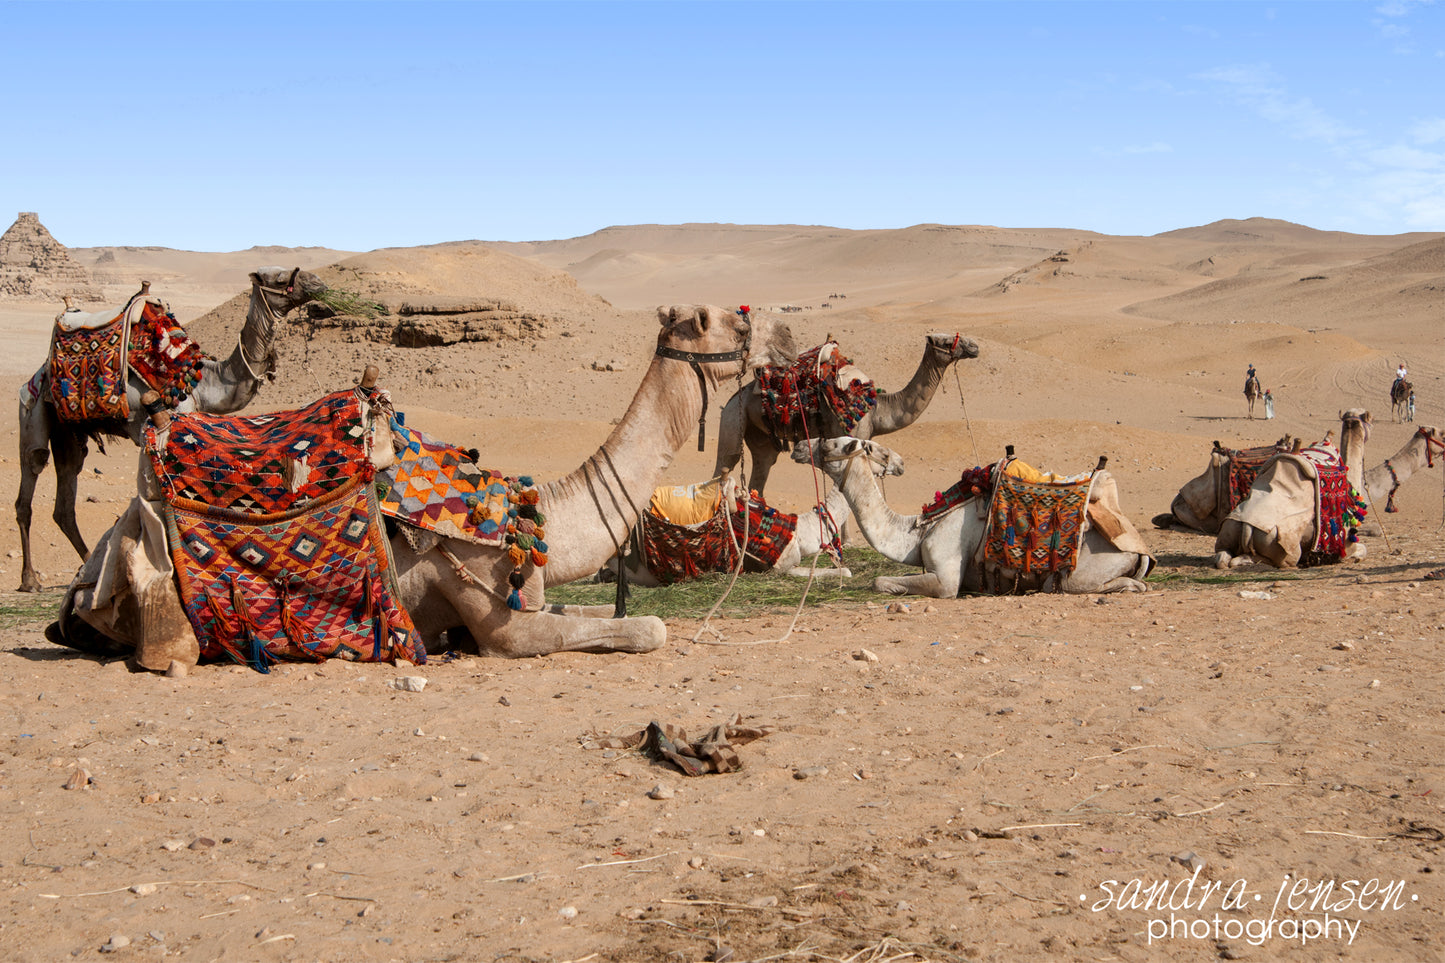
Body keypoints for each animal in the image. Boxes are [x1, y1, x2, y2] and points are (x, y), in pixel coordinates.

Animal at [15, 267, 327, 592]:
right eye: (279, 278)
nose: (318, 283)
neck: (203, 382)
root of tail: (38, 373)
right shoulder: (154, 424)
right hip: (32, 410)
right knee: (30, 480)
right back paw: (30, 580)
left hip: (68, 432)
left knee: (65, 495)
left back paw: (86, 568)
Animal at [714, 332, 980, 496]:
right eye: (945, 340)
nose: (974, 346)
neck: (877, 408)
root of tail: (733, 398)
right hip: (732, 419)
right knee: (725, 464)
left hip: (760, 434)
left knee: (763, 465)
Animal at [793, 437, 1154, 598]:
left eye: (833, 444)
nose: (798, 445)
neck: (919, 530)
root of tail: (1141, 549)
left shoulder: (945, 576)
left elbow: (880, 580)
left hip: (1080, 574)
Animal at [1214, 410, 1371, 569]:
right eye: (1369, 420)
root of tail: (1247, 526)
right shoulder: (1344, 545)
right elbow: (1362, 550)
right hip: (1283, 550)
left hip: (1228, 531)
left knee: (1222, 557)